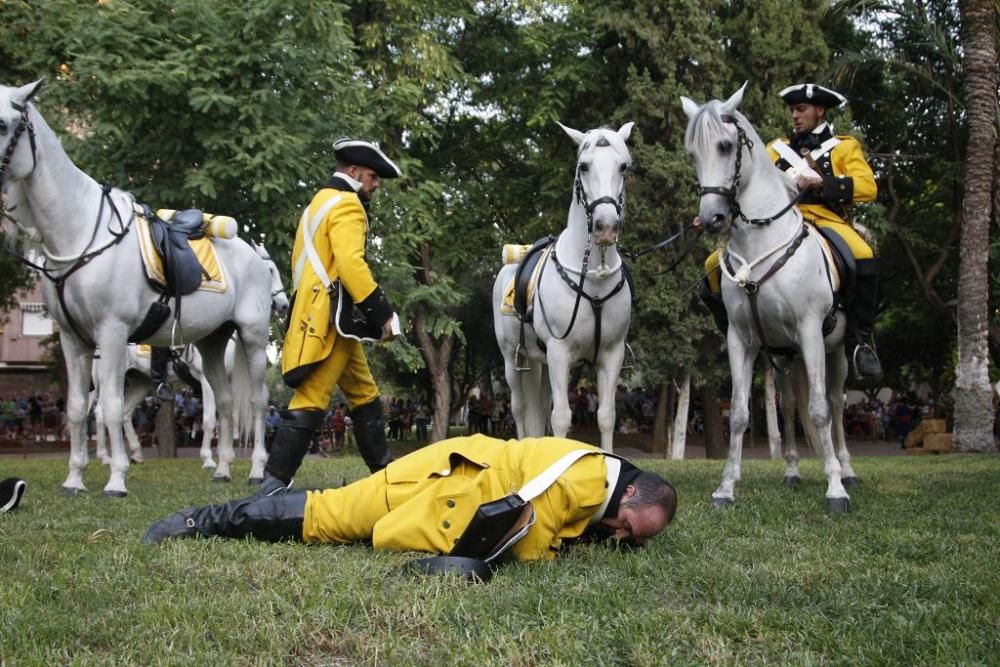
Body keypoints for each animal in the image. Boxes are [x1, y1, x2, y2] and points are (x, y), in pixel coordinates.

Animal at [0, 79, 274, 496]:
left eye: (2, 124)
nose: (284, 300)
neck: (81, 229)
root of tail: (248, 252)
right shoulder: (73, 338)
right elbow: (78, 408)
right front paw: (75, 478)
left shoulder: (112, 331)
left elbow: (112, 407)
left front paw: (116, 480)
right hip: (210, 342)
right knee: (225, 403)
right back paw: (223, 467)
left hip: (253, 337)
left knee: (256, 401)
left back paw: (257, 468)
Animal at [492, 120, 632, 454]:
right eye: (584, 166)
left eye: (623, 166)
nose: (605, 228)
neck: (594, 275)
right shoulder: (559, 352)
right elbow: (561, 417)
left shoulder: (612, 354)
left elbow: (606, 416)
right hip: (513, 360)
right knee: (520, 408)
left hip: (538, 362)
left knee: (539, 407)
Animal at [684, 83, 856, 512]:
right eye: (692, 153)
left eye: (726, 146)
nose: (711, 218)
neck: (761, 239)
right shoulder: (742, 339)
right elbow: (740, 413)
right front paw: (726, 487)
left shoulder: (811, 332)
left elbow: (820, 410)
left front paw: (835, 488)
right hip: (785, 355)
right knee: (790, 405)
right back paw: (792, 470)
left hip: (836, 350)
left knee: (836, 402)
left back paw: (846, 469)